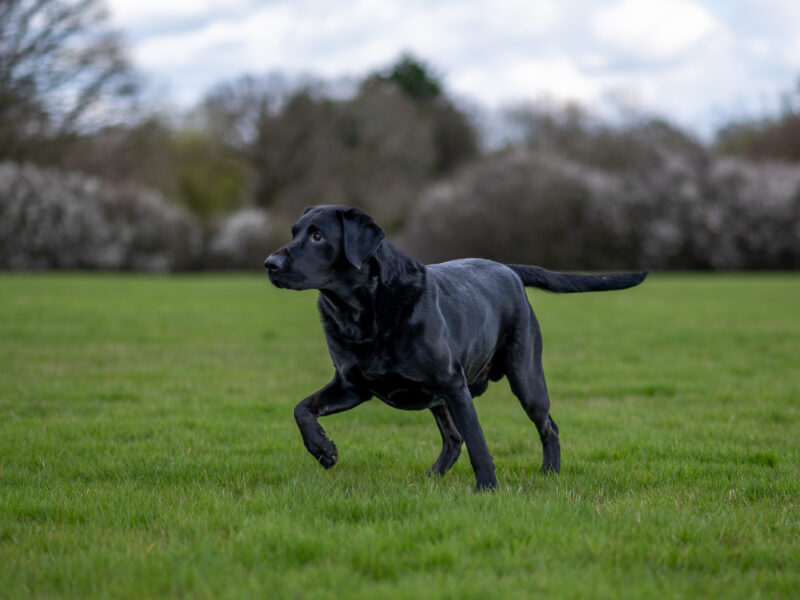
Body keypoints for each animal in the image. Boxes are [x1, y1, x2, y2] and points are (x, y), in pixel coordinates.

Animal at [266, 205, 648, 488]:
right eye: (294, 232)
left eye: (318, 236)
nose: (270, 264)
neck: (363, 314)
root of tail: (508, 268)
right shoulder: (351, 385)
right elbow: (301, 409)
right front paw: (323, 450)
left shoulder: (453, 384)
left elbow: (479, 444)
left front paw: (488, 489)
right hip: (441, 398)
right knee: (452, 439)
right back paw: (431, 478)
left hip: (525, 378)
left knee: (547, 426)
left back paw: (550, 473)